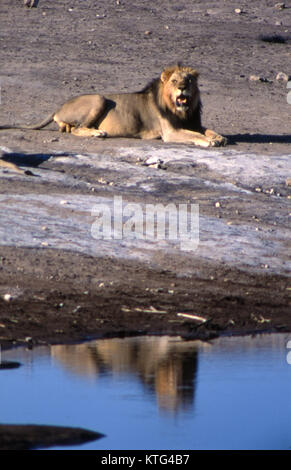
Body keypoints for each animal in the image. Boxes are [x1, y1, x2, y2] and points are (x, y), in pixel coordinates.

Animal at [0, 65, 228, 170]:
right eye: (174, 81)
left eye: (188, 81)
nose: (182, 88)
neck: (182, 109)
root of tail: (59, 107)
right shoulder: (170, 133)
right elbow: (194, 135)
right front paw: (208, 141)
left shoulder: (191, 122)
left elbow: (206, 129)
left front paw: (219, 137)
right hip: (99, 98)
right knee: (77, 129)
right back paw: (97, 132)